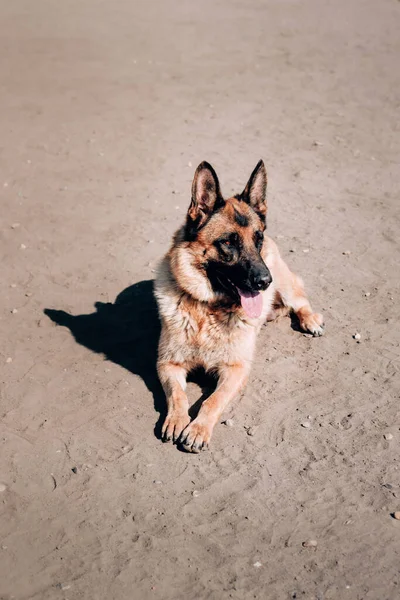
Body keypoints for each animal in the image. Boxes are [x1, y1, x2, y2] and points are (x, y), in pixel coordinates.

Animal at [155, 162, 324, 452]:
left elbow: (212, 400)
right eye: (228, 242)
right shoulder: (167, 363)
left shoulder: (236, 369)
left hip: (286, 283)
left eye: (258, 239)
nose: (265, 282)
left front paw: (198, 429)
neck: (208, 309)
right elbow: (177, 395)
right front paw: (177, 419)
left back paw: (310, 319)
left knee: (300, 299)